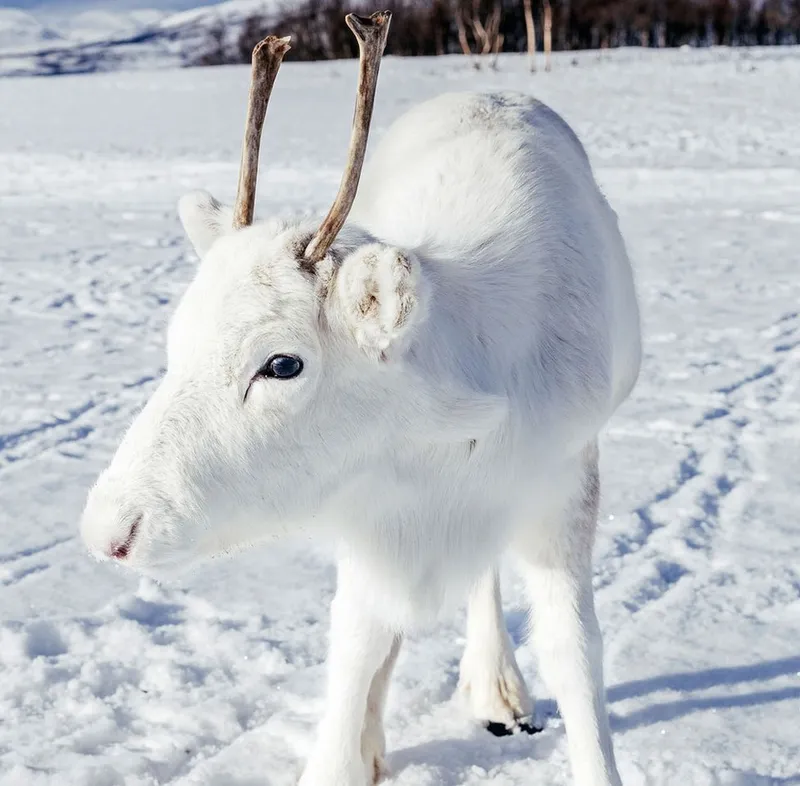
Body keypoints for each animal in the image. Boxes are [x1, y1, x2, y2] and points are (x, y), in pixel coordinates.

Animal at [81, 10, 644, 784]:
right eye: (176, 339)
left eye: (282, 364)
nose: (111, 530)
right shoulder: (367, 512)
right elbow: (355, 646)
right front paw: (346, 754)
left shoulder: (562, 482)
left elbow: (574, 652)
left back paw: (495, 687)